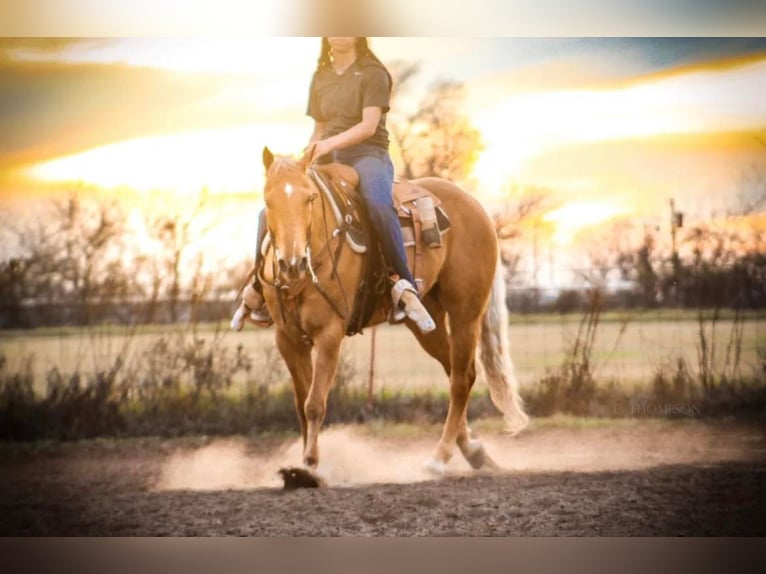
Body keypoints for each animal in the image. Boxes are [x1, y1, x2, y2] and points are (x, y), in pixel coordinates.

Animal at [258, 145, 528, 482]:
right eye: (268, 201)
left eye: (309, 198)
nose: (291, 264)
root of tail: (476, 207)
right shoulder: (288, 339)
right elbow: (300, 403)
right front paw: (304, 465)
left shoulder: (330, 334)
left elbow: (314, 403)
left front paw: (308, 467)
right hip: (427, 322)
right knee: (458, 371)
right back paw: (474, 452)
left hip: (465, 313)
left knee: (460, 380)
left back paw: (438, 459)